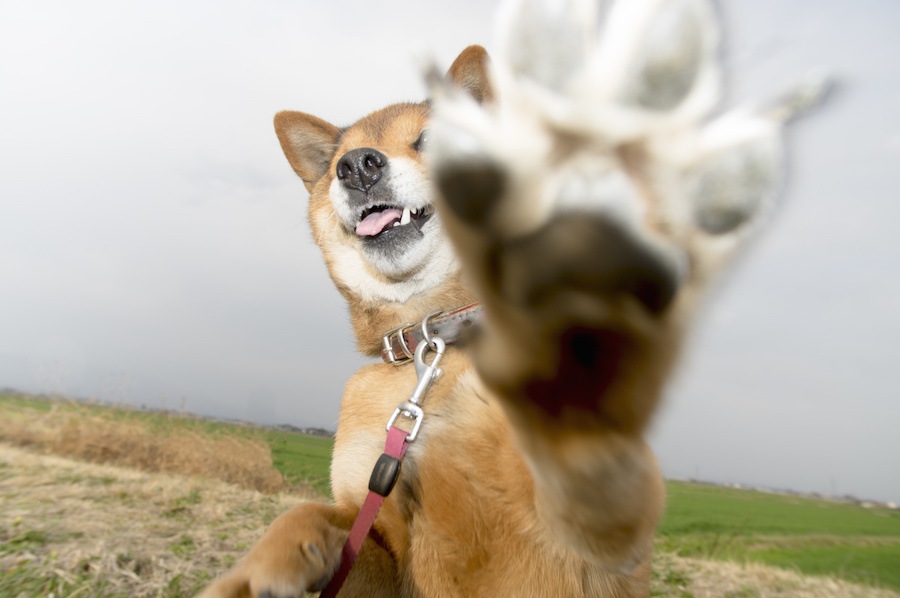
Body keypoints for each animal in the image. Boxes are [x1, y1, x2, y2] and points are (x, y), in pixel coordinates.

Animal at [202, 0, 824, 596]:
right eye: (336, 164)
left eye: (431, 141)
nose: (357, 168)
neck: (435, 344)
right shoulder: (376, 529)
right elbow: (306, 515)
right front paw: (254, 571)